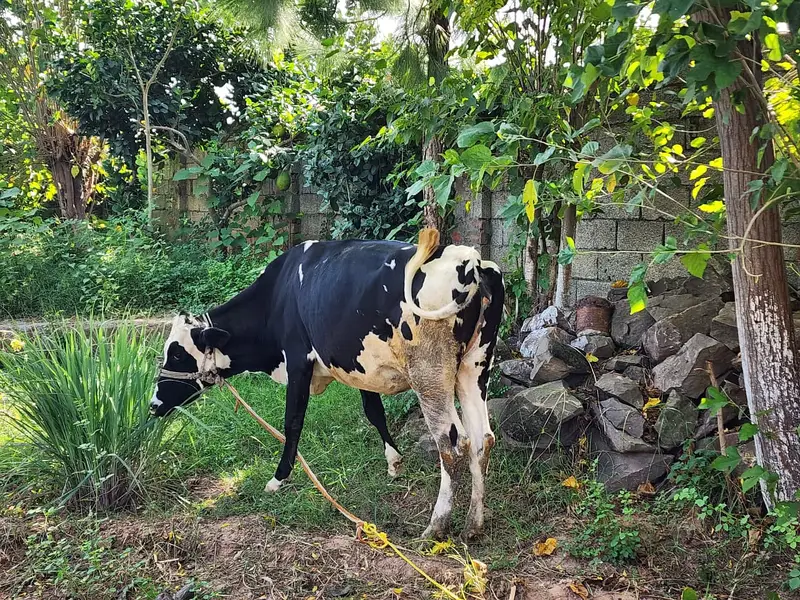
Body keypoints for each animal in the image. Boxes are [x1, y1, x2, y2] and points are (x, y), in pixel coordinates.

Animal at [150, 229, 504, 539]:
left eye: (177, 354)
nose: (154, 405)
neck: (278, 295)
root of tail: (470, 260)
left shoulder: (298, 360)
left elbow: (292, 421)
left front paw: (278, 479)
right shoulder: (359, 366)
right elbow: (373, 411)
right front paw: (394, 462)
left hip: (430, 374)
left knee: (453, 444)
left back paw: (436, 526)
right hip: (474, 368)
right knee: (483, 438)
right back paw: (473, 524)